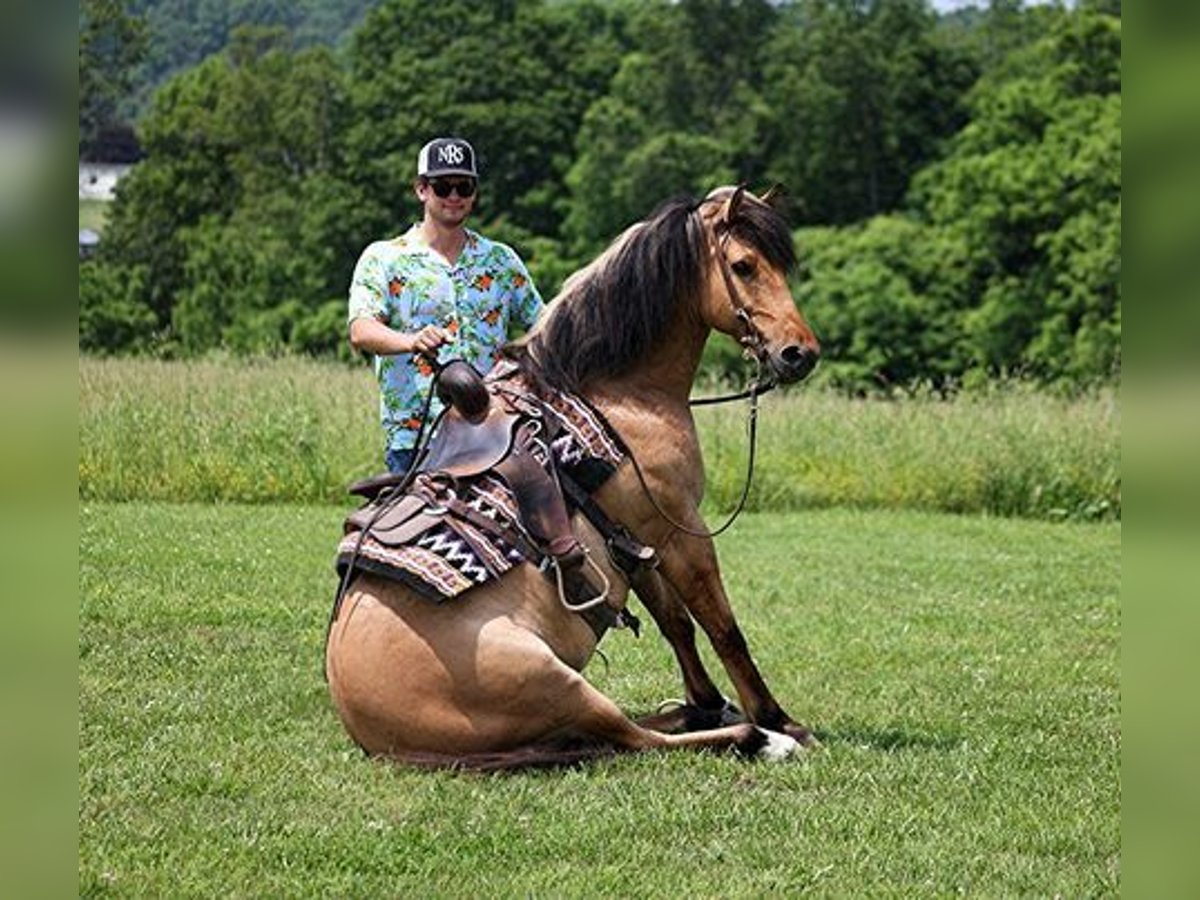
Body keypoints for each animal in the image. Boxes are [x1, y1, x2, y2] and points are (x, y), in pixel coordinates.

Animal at [324, 187, 820, 772]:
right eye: (744, 265)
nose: (800, 353)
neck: (620, 395)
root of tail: (375, 734)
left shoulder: (638, 544)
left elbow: (677, 624)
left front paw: (707, 701)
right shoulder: (681, 530)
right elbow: (723, 628)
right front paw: (779, 720)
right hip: (556, 682)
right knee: (633, 740)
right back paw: (761, 739)